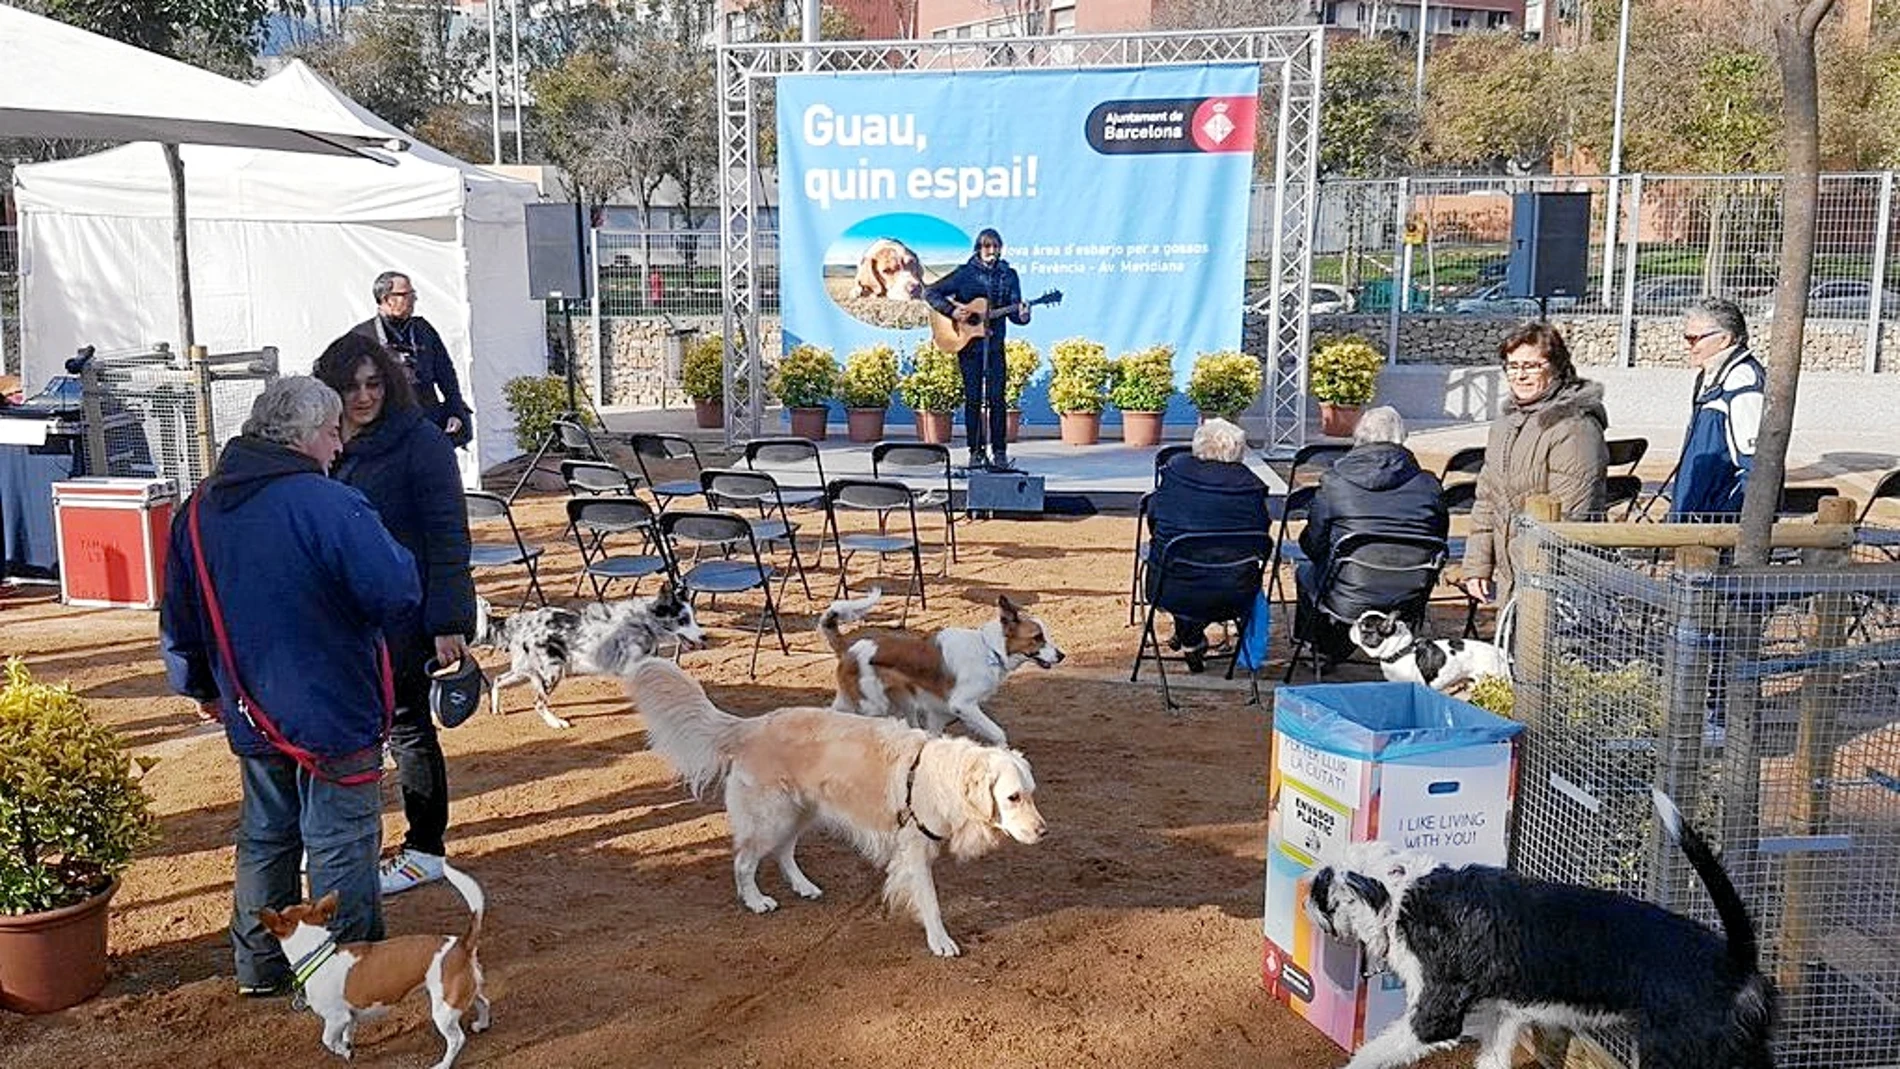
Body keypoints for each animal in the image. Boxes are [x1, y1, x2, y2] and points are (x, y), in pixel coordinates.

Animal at [262, 862, 494, 1069]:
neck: (318, 953)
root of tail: (462, 944)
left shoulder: (336, 1018)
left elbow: (328, 1040)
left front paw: (343, 1052)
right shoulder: (349, 1017)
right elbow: (348, 1032)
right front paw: (348, 1045)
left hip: (443, 1011)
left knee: (456, 1040)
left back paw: (443, 1064)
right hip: (463, 994)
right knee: (484, 1002)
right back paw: (481, 1025)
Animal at [475, 588, 706, 732]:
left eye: (693, 618)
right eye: (682, 620)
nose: (704, 637)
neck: (643, 623)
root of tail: (521, 621)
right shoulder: (633, 666)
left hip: (526, 671)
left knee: (497, 680)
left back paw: (496, 709)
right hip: (552, 672)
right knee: (538, 703)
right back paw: (556, 723)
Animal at [813, 588, 1064, 748]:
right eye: (1037, 638)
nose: (1062, 656)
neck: (990, 650)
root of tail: (848, 647)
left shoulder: (939, 713)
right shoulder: (963, 705)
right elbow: (997, 733)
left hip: (899, 702)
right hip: (874, 706)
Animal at [1314, 789, 1770, 1063]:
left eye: (1320, 888)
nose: (1305, 899)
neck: (1403, 895)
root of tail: (1736, 960)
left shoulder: (1432, 1017)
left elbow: (1370, 1055)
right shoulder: (1503, 1013)